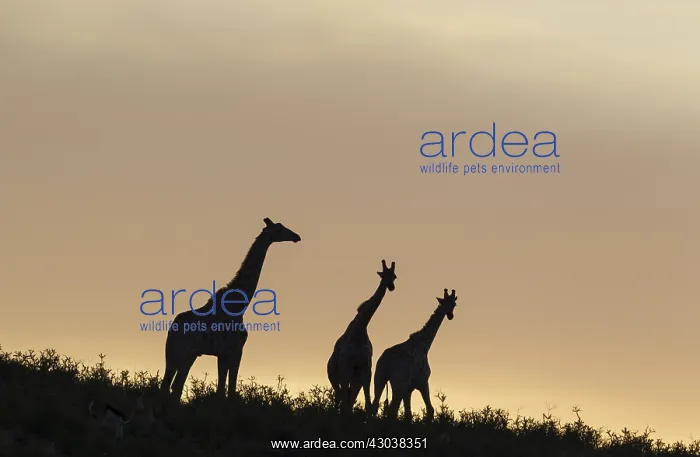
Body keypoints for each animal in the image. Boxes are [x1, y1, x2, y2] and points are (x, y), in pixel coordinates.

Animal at [160, 217, 301, 401]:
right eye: (279, 229)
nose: (296, 236)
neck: (239, 306)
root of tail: (173, 329)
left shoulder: (222, 354)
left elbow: (221, 390)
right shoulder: (236, 350)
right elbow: (232, 390)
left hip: (171, 355)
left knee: (165, 386)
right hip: (187, 354)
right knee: (176, 387)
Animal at [327, 260, 397, 414]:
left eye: (394, 276)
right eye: (383, 275)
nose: (391, 287)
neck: (359, 332)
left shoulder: (365, 368)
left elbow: (367, 404)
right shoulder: (346, 366)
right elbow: (345, 403)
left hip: (355, 380)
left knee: (348, 399)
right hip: (334, 377)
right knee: (339, 398)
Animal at [370, 288, 458, 421]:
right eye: (453, 304)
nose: (450, 315)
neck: (424, 345)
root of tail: (386, 361)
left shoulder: (408, 389)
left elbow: (408, 414)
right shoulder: (423, 381)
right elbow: (430, 410)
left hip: (379, 378)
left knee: (374, 406)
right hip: (398, 384)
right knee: (392, 409)